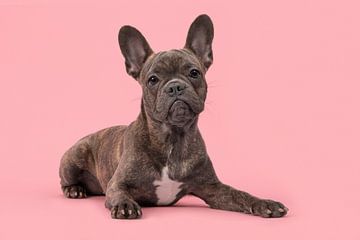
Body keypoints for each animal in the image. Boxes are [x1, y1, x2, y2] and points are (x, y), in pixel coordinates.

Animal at [59, 14, 290, 219]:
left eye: (194, 73)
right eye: (152, 79)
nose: (175, 86)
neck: (172, 137)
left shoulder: (214, 188)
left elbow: (240, 194)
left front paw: (264, 203)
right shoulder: (117, 184)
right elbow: (119, 193)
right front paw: (125, 205)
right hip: (74, 157)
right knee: (66, 180)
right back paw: (75, 189)